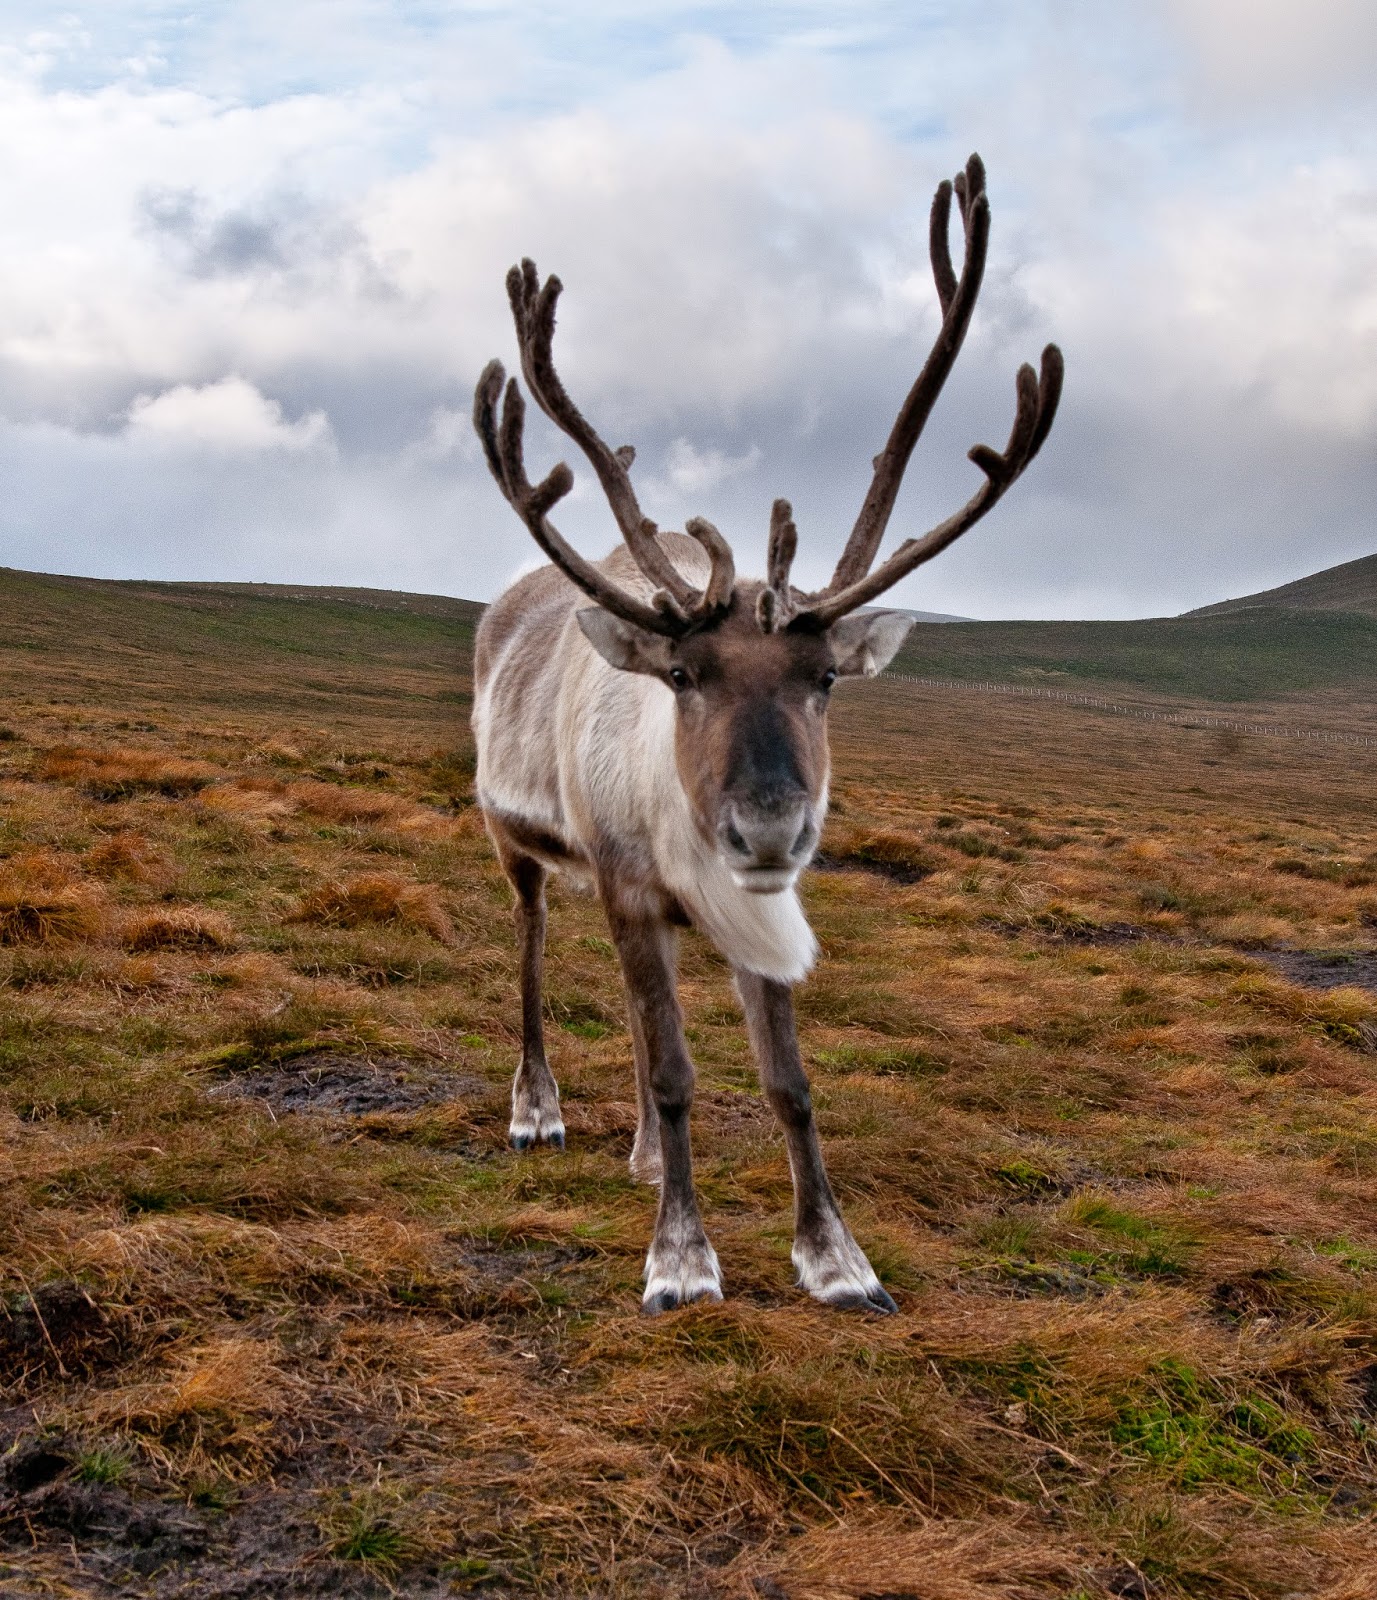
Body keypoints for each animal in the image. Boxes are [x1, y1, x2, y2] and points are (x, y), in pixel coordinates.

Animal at [471, 154, 1062, 1314]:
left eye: (825, 676)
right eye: (683, 676)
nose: (769, 830)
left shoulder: (745, 912)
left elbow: (786, 1082)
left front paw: (835, 1257)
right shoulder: (624, 884)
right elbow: (674, 1070)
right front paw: (680, 1257)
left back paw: (641, 1153)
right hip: (515, 845)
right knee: (529, 950)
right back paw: (537, 1109)